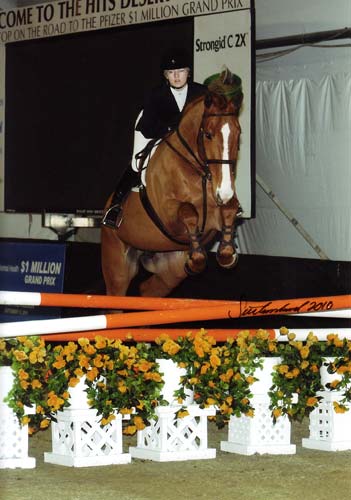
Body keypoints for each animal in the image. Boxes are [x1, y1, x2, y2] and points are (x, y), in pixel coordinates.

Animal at [102, 74, 243, 296]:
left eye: (239, 134)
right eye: (208, 135)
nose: (225, 192)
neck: (199, 172)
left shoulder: (216, 215)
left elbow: (230, 208)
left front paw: (227, 253)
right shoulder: (168, 217)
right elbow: (188, 212)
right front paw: (201, 258)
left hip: (171, 267)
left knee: (149, 289)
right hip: (117, 263)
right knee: (116, 292)